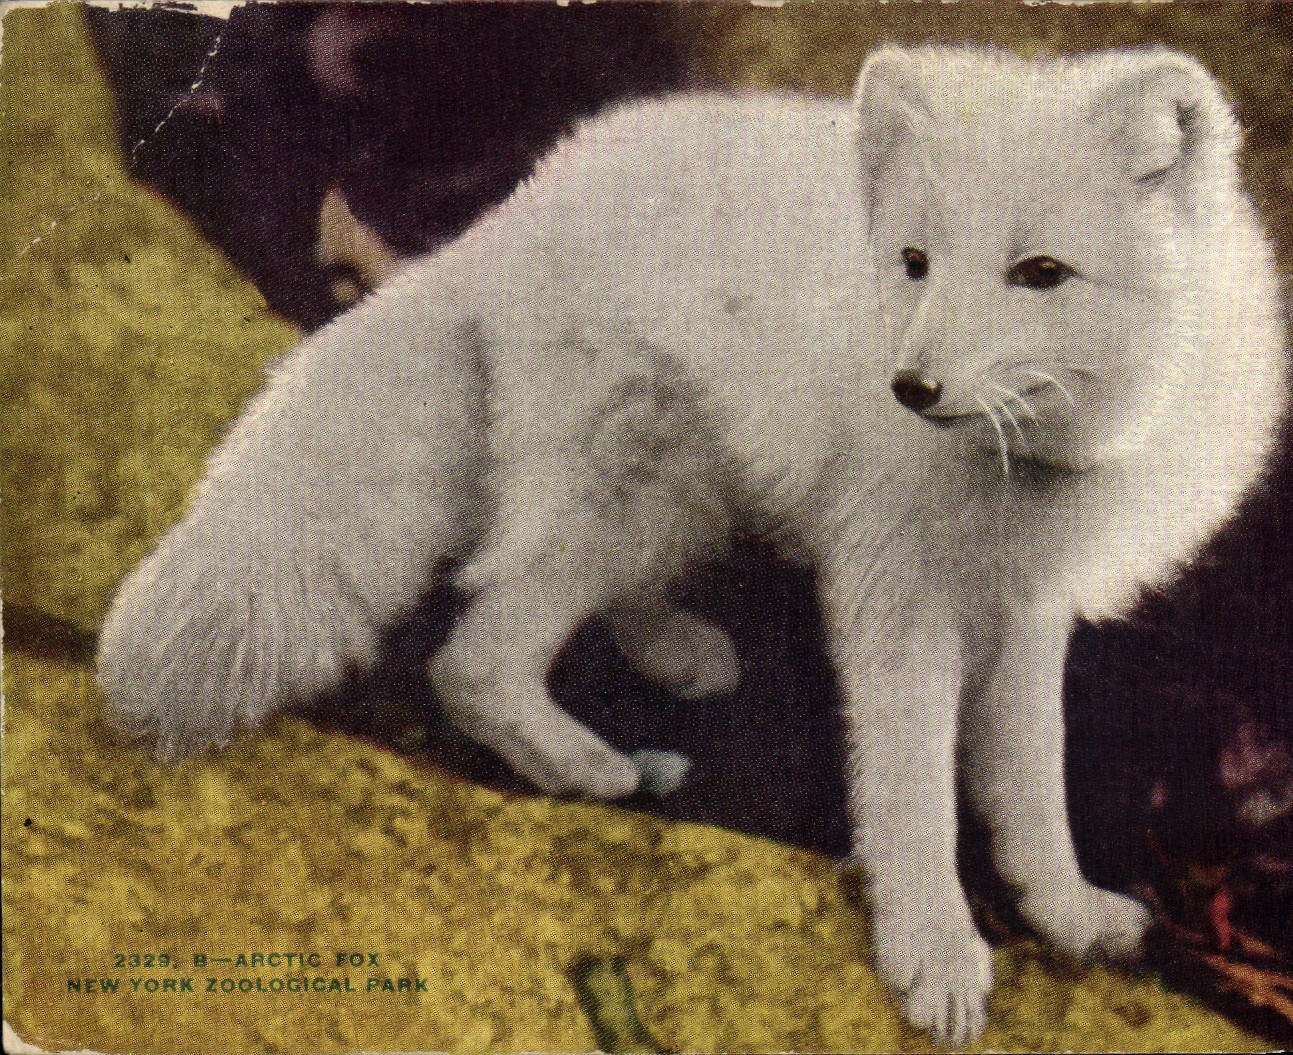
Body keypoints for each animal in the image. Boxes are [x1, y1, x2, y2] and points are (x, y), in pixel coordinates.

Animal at [98, 46, 1287, 1043]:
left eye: (1042, 272)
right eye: (914, 261)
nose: (908, 389)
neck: (1031, 459)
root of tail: (513, 213)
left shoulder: (1031, 602)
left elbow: (1030, 773)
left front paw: (1067, 911)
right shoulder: (895, 595)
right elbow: (911, 793)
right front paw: (934, 957)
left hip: (685, 490)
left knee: (586, 602)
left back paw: (673, 649)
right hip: (633, 485)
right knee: (475, 656)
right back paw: (585, 764)